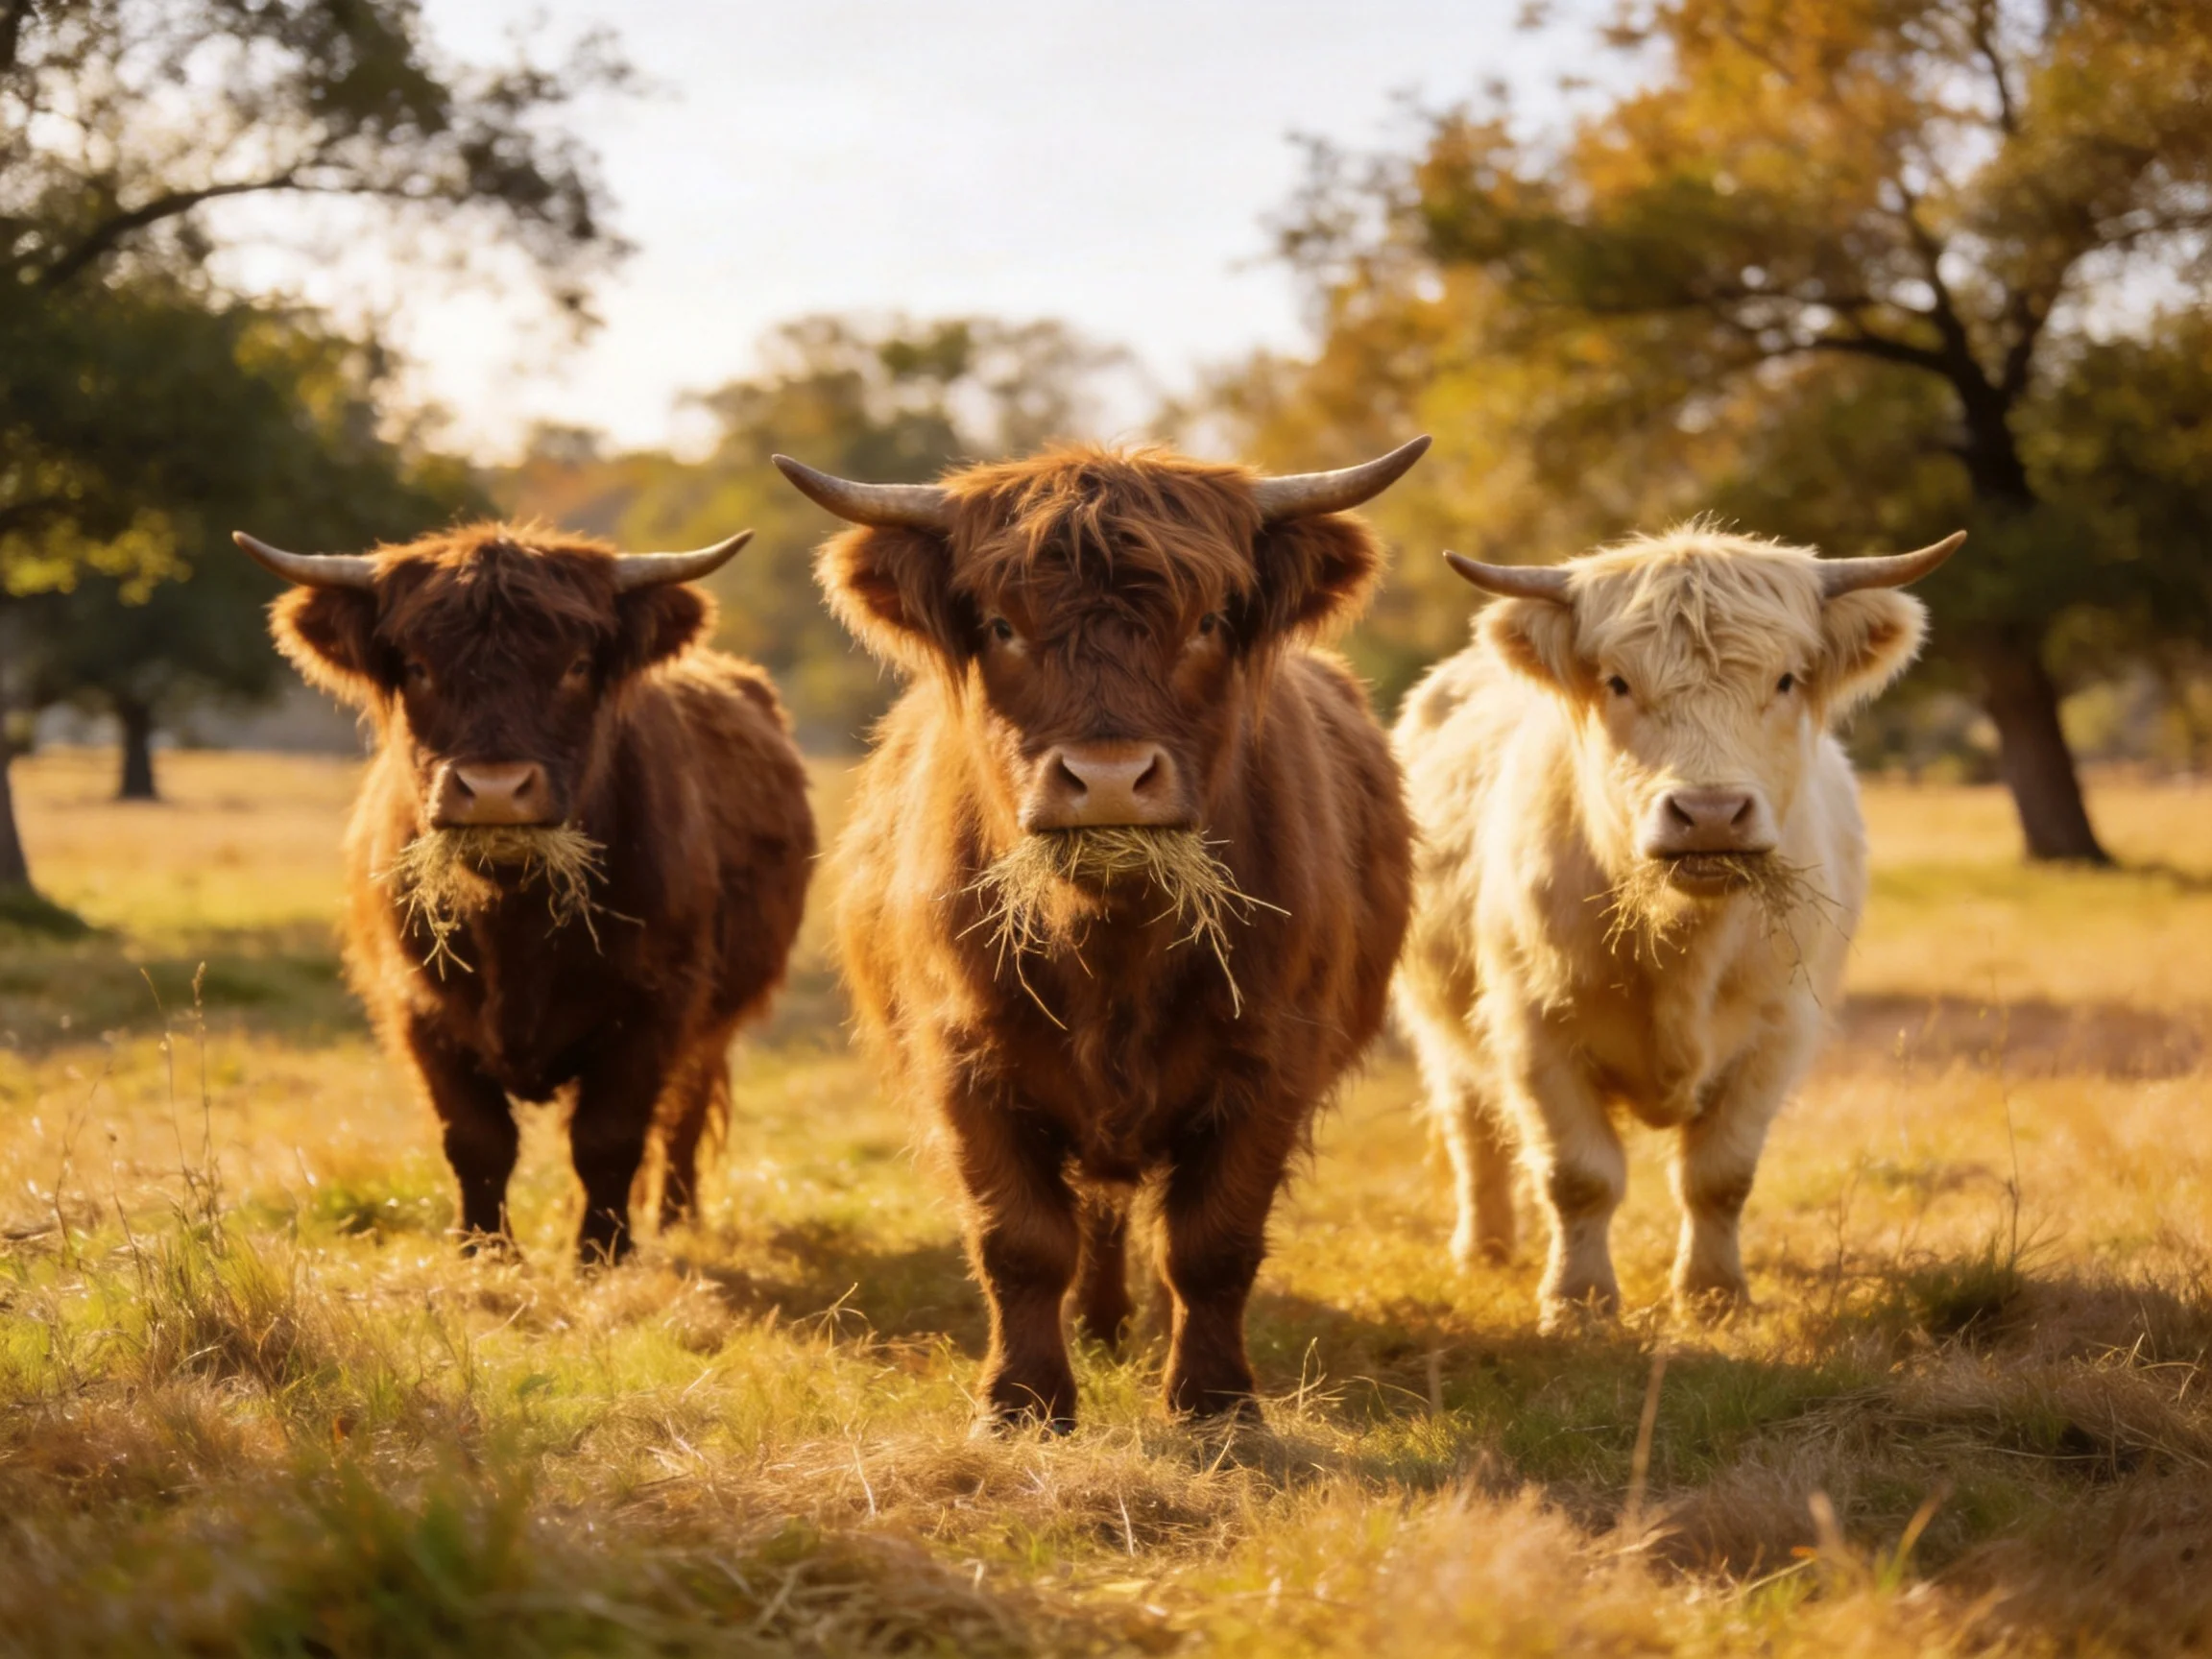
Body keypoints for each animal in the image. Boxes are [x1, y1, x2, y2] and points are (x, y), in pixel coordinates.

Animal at [235, 522, 816, 1264]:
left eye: (576, 665)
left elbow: (609, 1138)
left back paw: (674, 1219)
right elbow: (476, 1139)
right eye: (417, 666)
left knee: (684, 1110)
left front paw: (601, 1253)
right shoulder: (418, 1006)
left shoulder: (657, 1004)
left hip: (715, 1017)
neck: (513, 924)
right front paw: (485, 1249)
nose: (494, 791)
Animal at [777, 440, 1423, 1429]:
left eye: (1209, 621)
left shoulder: (1270, 1062)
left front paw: (1216, 1402)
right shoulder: (964, 1061)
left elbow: (1213, 1244)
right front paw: (1022, 1402)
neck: (1111, 946)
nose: (1110, 780)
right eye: (1001, 625)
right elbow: (1020, 1240)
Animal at [1392, 525, 1963, 1331]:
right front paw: (1579, 1303)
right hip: (1439, 1020)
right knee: (1471, 1125)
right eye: (1617, 682)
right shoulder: (1533, 1028)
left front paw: (1716, 1295)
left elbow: (1721, 1175)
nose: (1711, 814)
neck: (1684, 946)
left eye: (1786, 680)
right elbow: (1578, 1176)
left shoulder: (1777, 1030)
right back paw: (1486, 1249)